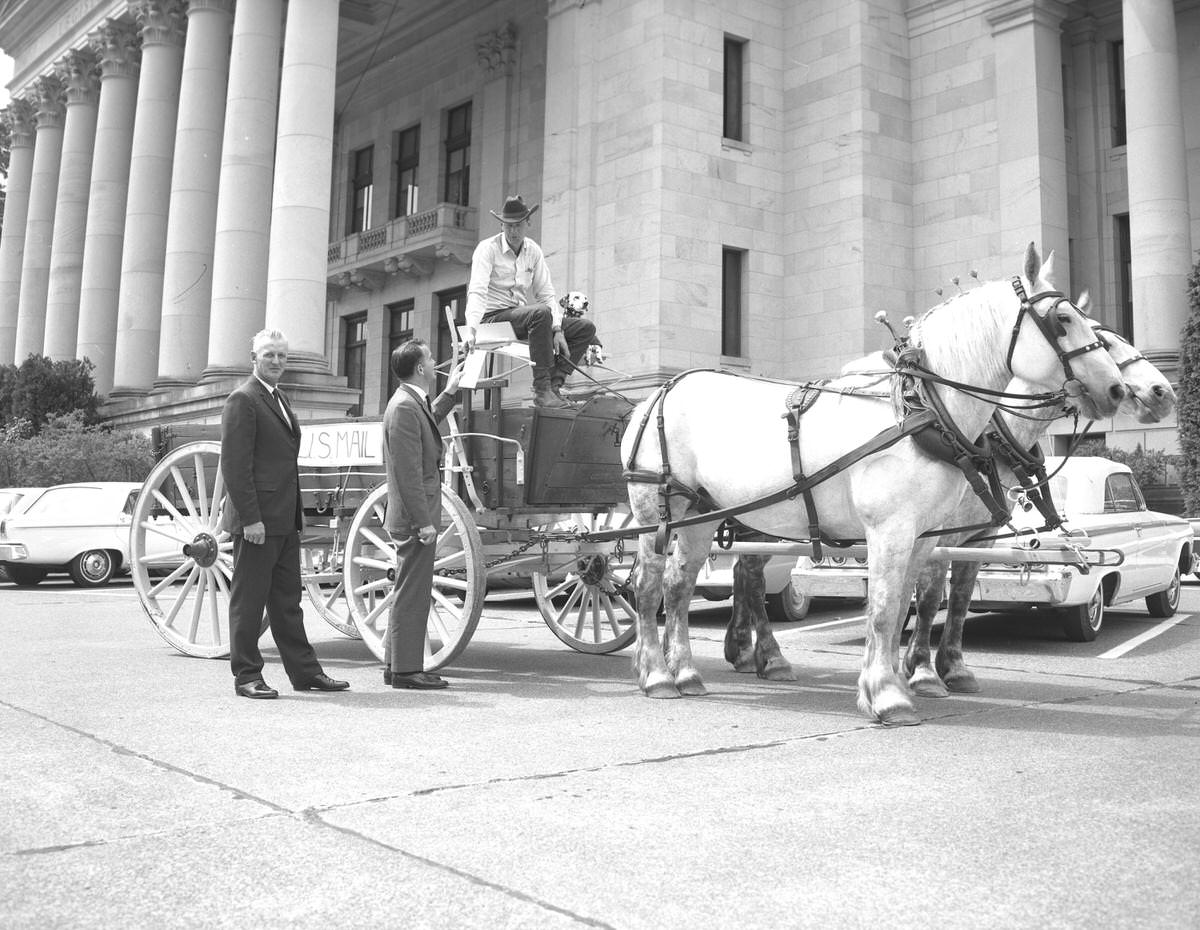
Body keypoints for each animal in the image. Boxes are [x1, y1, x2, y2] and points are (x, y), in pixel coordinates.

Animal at [624, 243, 1128, 724]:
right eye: (1063, 321)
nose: (1118, 390)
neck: (922, 410)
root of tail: (657, 393)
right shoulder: (890, 529)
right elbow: (885, 608)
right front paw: (888, 696)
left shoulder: (924, 536)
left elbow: (906, 604)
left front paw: (896, 682)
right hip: (657, 509)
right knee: (650, 587)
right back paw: (657, 674)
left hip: (700, 513)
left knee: (680, 584)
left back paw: (686, 671)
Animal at [902, 324, 1176, 696]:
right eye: (1104, 343)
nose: (1164, 392)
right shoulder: (935, 534)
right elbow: (928, 598)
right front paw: (920, 670)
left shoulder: (978, 536)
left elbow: (957, 597)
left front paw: (945, 668)